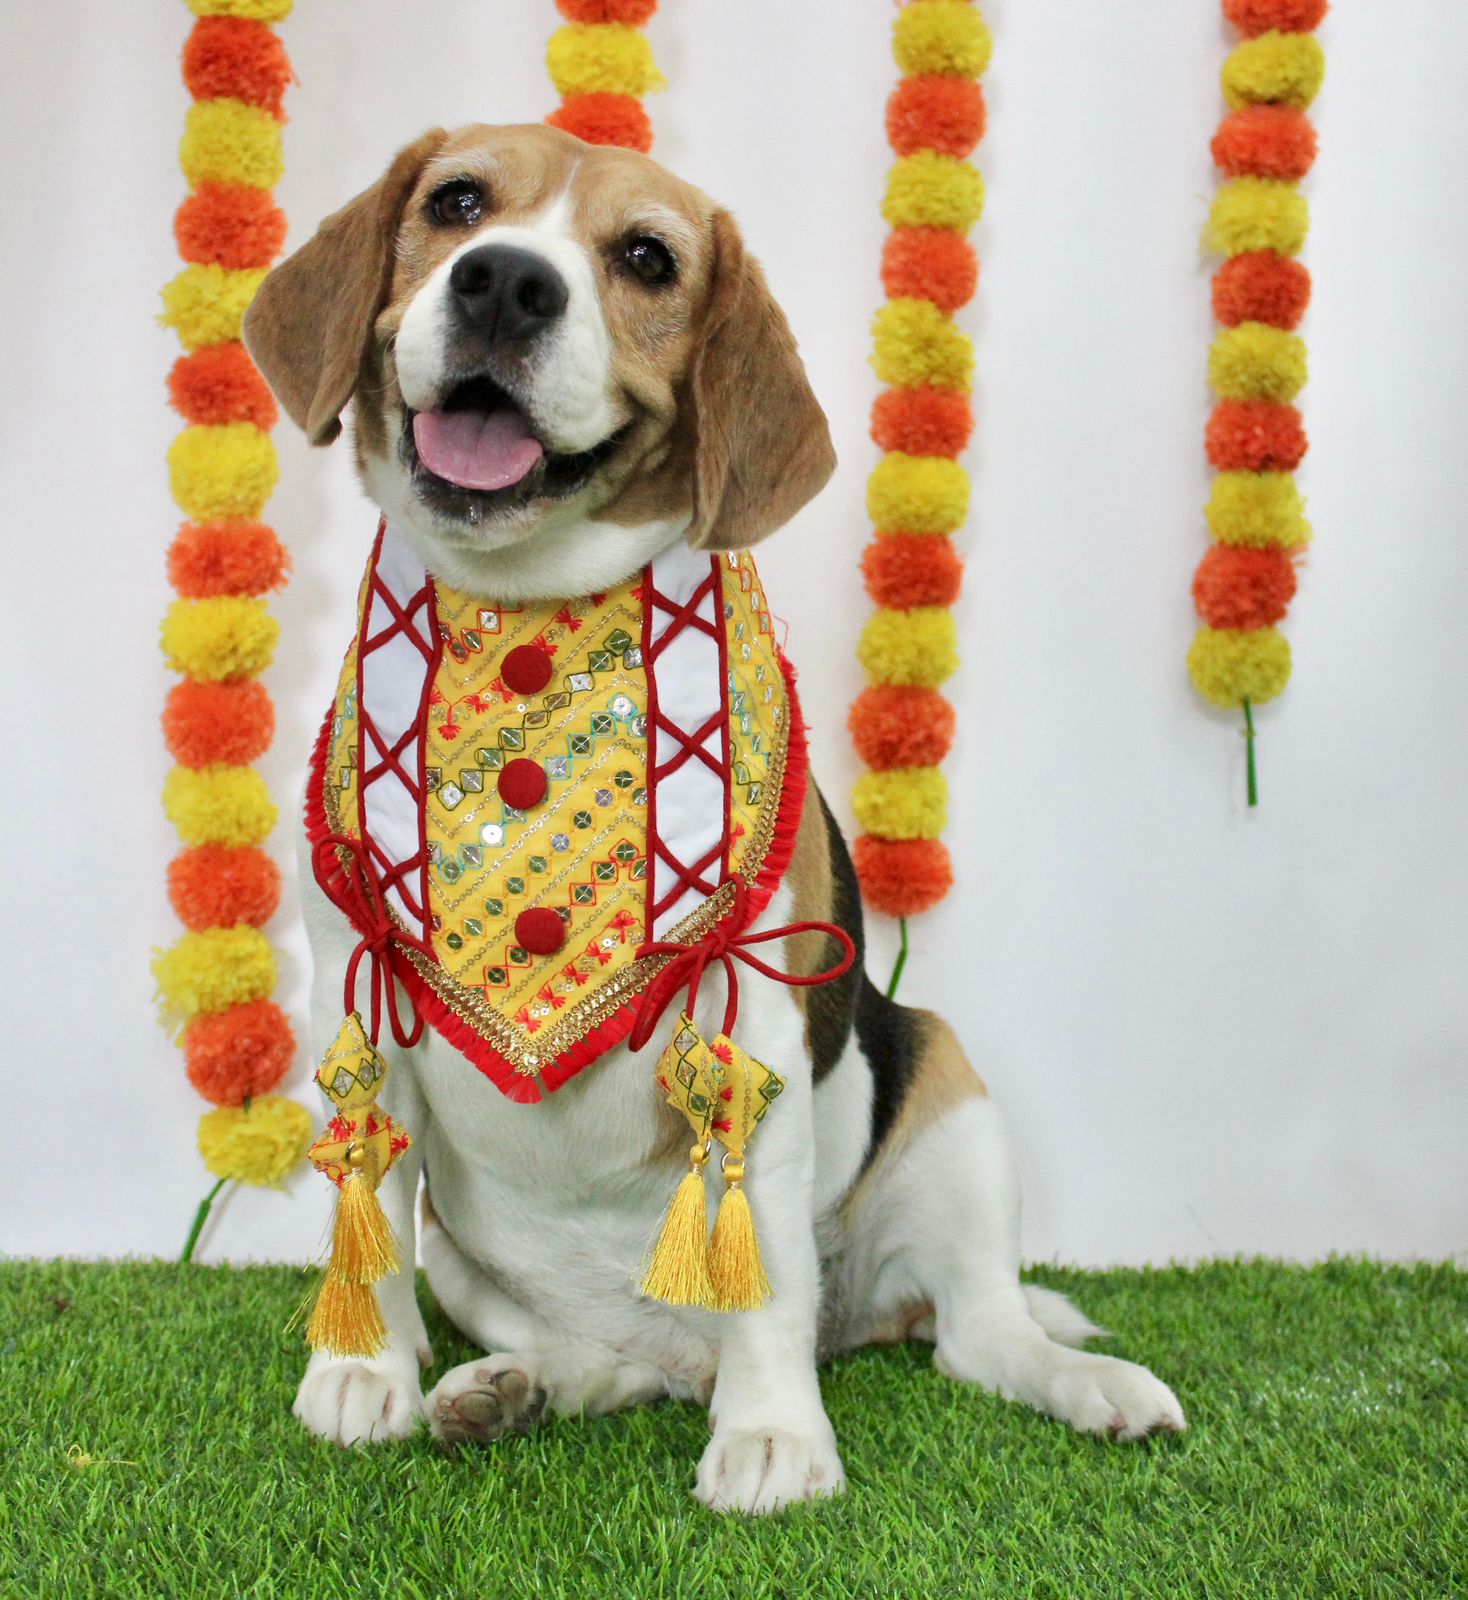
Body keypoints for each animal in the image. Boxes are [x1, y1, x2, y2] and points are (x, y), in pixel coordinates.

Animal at [244, 124, 1183, 1510]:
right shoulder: (357, 999)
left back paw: (1083, 1384)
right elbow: (366, 1203)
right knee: (607, 1363)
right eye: (456, 202)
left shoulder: (752, 1032)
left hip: (949, 1094)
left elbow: (763, 1277)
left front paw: (776, 1437)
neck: (527, 625)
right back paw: (512, 1387)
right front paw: (364, 1371)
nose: (504, 283)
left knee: (976, 1334)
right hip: (481, 1263)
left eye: (646, 259)